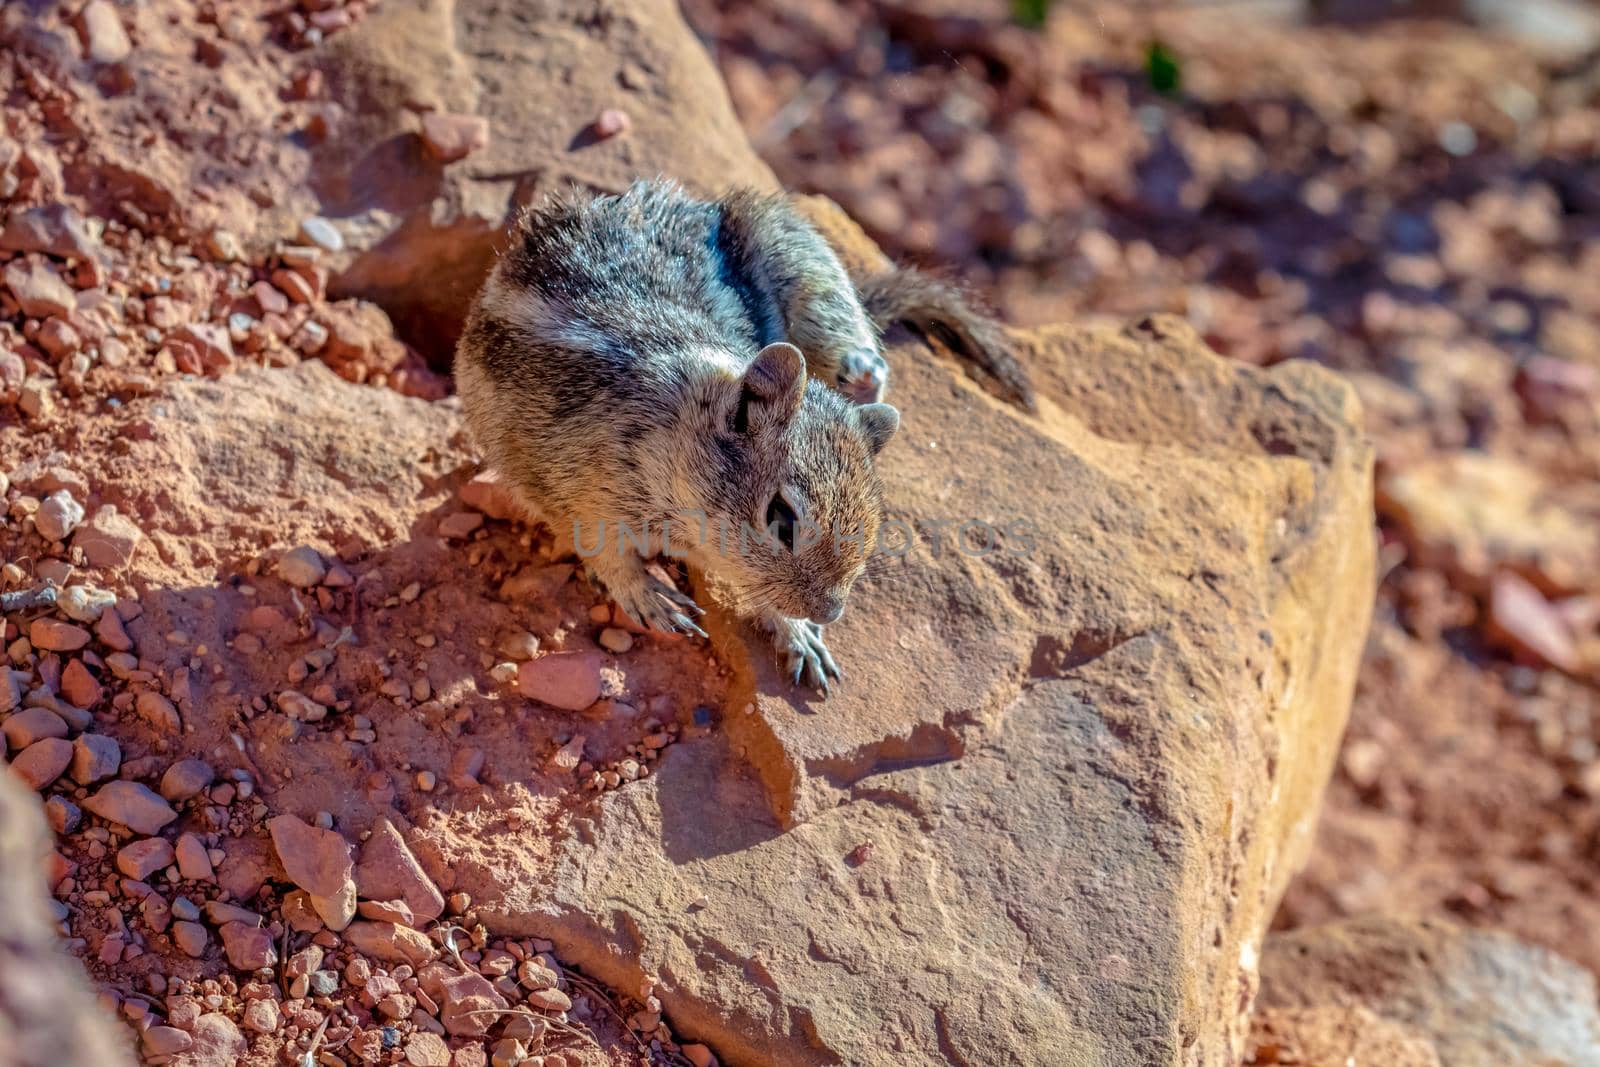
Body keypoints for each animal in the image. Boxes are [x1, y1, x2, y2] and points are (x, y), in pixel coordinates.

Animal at [457, 178, 1030, 694]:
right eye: (781, 519)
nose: (830, 611)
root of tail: (699, 204)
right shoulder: (568, 488)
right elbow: (604, 555)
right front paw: (651, 597)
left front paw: (798, 634)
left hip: (800, 256)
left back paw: (862, 375)